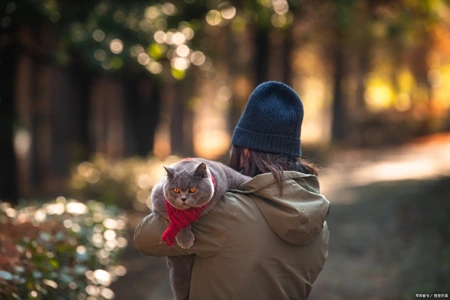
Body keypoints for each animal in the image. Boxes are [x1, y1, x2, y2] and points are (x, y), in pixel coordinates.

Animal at [151, 158, 250, 298]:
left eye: (193, 189)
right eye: (175, 190)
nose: (183, 199)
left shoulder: (229, 177)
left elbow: (246, 179)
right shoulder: (158, 198)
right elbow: (178, 219)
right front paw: (185, 239)